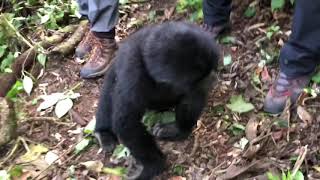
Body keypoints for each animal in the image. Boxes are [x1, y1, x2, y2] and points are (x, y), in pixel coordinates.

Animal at [94, 21, 220, 179]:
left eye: (210, 71)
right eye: (202, 77)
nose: (212, 78)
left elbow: (194, 96)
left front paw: (178, 130)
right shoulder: (132, 72)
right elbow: (127, 122)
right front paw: (154, 165)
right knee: (110, 85)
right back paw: (103, 132)